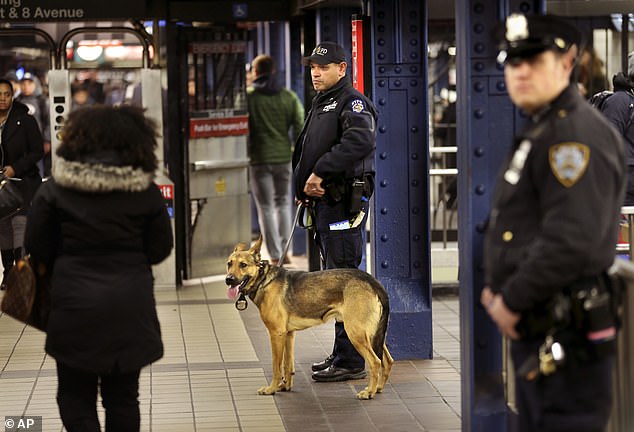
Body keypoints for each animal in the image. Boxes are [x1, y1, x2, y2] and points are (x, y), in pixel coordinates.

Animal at [222, 238, 390, 400]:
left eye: (243, 265)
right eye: (229, 263)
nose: (228, 280)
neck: (263, 279)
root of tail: (371, 280)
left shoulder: (276, 334)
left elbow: (276, 366)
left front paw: (271, 389)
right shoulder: (288, 335)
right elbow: (288, 365)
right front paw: (285, 386)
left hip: (355, 333)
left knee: (376, 362)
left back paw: (369, 392)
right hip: (372, 334)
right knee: (387, 361)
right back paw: (378, 388)